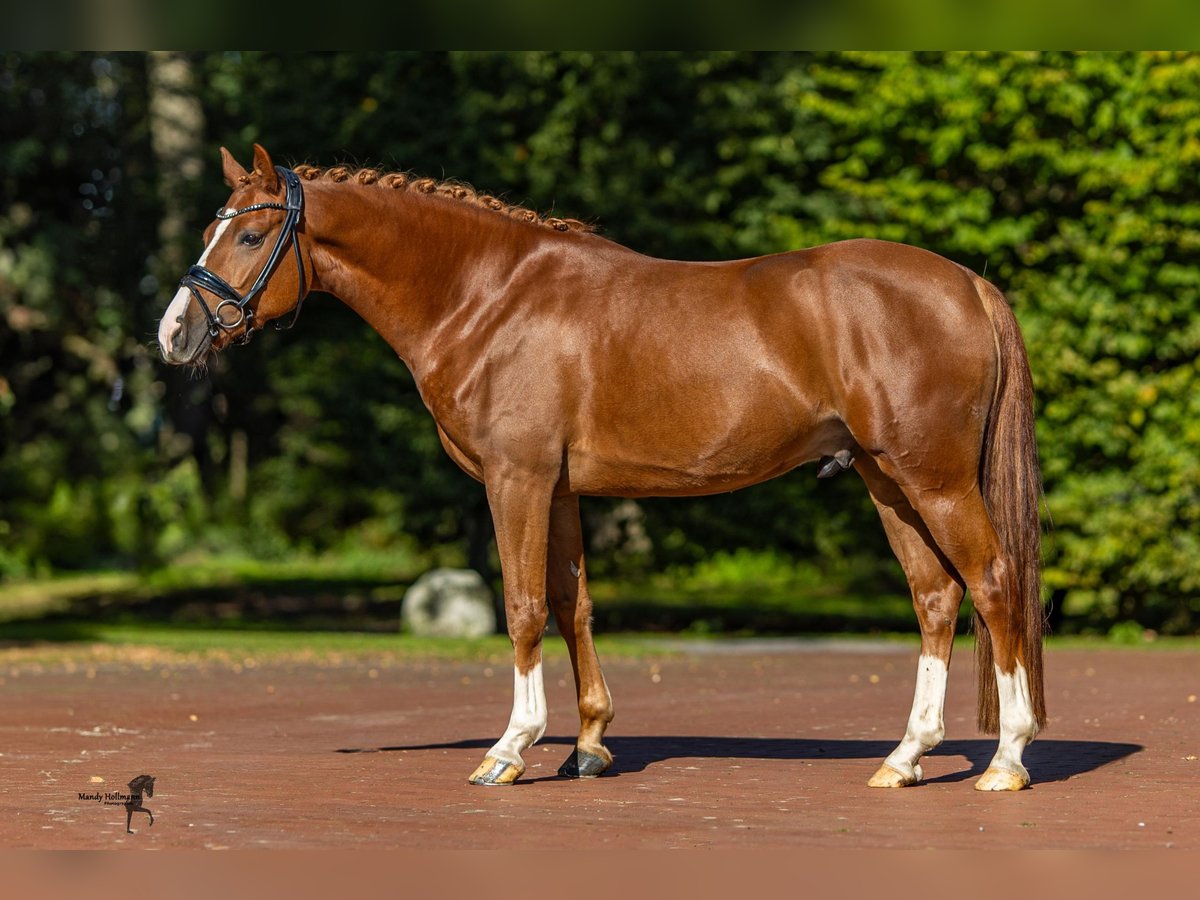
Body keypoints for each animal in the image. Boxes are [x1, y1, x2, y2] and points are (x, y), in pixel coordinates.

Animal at [157, 144, 1041, 792]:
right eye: (211, 229)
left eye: (248, 236)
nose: (173, 333)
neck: (489, 297)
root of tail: (967, 282)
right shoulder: (560, 492)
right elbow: (570, 604)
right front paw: (588, 744)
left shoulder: (515, 480)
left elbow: (520, 609)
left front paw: (509, 749)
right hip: (888, 481)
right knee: (936, 598)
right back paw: (905, 758)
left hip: (935, 482)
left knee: (993, 584)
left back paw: (1006, 760)